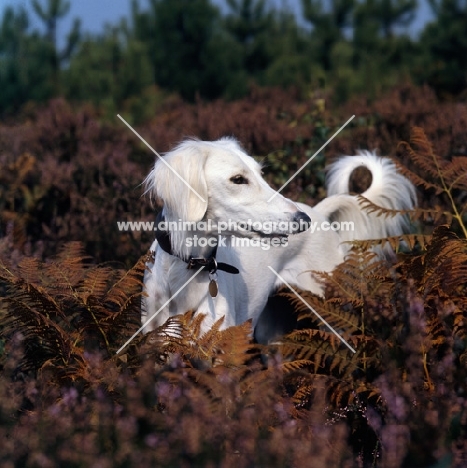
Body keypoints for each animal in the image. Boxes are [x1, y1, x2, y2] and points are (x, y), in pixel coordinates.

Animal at [141, 137, 414, 342]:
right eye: (238, 179)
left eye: (261, 174)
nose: (303, 220)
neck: (188, 268)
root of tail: (318, 212)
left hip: (335, 316)